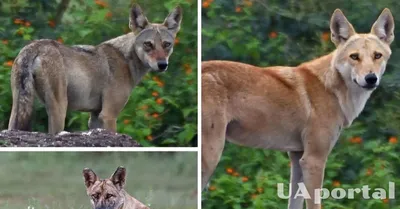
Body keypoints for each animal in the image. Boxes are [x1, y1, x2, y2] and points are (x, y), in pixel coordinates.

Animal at [7, 4, 183, 134]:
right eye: (148, 44)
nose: (162, 65)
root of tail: (34, 46)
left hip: (18, 109)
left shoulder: (95, 117)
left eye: (167, 45)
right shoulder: (109, 115)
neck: (126, 60)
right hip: (59, 109)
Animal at [202, 8, 396, 209]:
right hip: (211, 156)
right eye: (354, 56)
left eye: (377, 55)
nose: (371, 78)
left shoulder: (297, 158)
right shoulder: (313, 160)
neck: (331, 89)